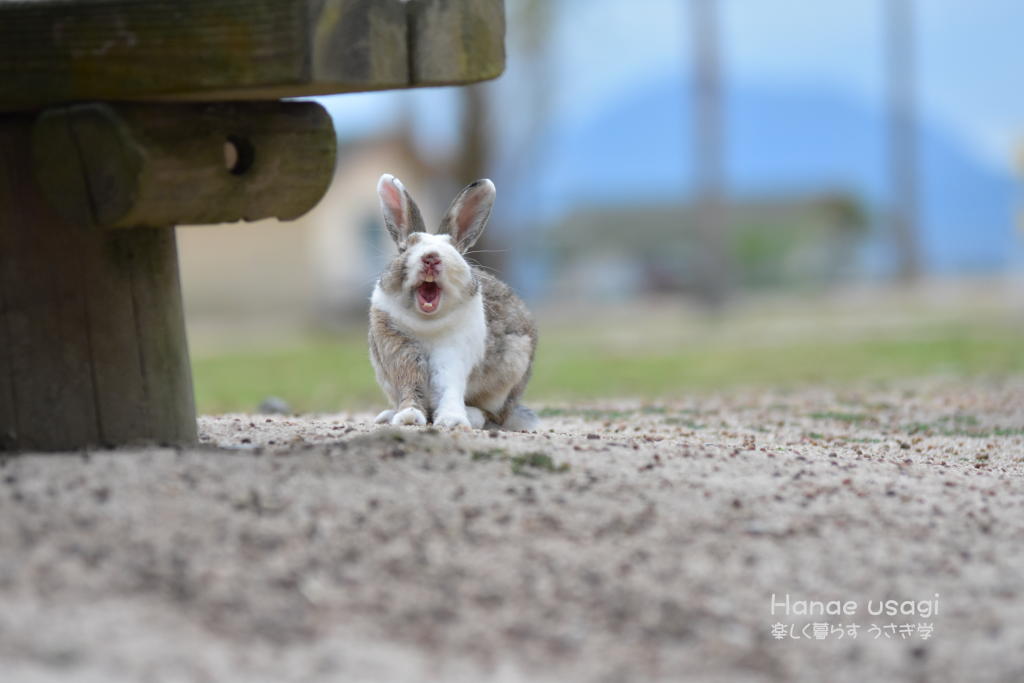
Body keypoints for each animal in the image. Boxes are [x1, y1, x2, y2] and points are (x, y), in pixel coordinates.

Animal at [370, 176, 544, 432]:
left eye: (453, 249)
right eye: (404, 249)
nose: (431, 257)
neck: (427, 321)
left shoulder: (454, 351)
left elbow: (448, 385)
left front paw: (452, 420)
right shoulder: (398, 345)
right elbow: (410, 381)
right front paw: (408, 416)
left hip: (509, 383)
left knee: (493, 416)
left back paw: (472, 416)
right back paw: (387, 415)